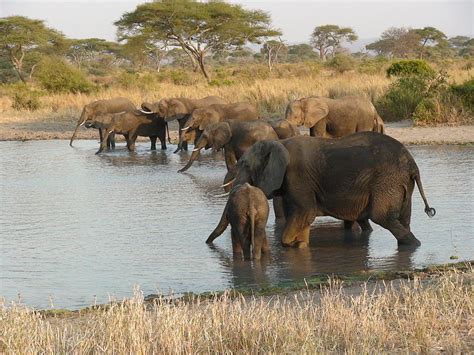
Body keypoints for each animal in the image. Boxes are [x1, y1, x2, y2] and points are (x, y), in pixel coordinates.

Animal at [231, 132, 436, 249]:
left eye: (244, 165)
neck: (279, 142)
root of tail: (412, 165)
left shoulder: (298, 176)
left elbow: (305, 212)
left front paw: (293, 244)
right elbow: (303, 217)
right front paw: (301, 244)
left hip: (387, 181)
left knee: (382, 217)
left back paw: (415, 246)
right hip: (401, 183)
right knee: (403, 219)